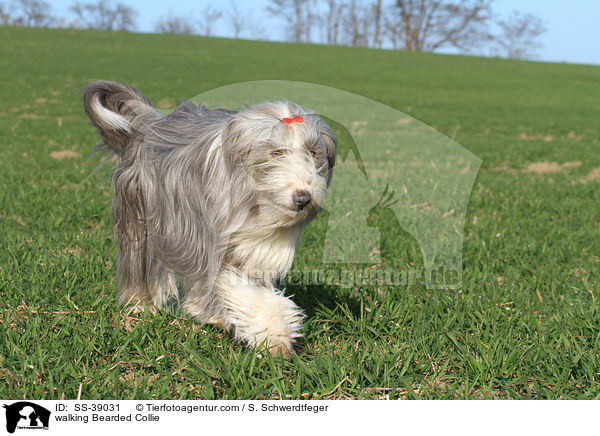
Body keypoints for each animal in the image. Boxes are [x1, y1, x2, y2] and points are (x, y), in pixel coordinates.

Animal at [83, 82, 338, 358]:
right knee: (140, 265)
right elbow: (235, 286)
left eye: (312, 152)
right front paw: (273, 336)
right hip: (143, 217)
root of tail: (151, 124)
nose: (303, 198)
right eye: (276, 152)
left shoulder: (251, 250)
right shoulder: (209, 241)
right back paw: (140, 304)